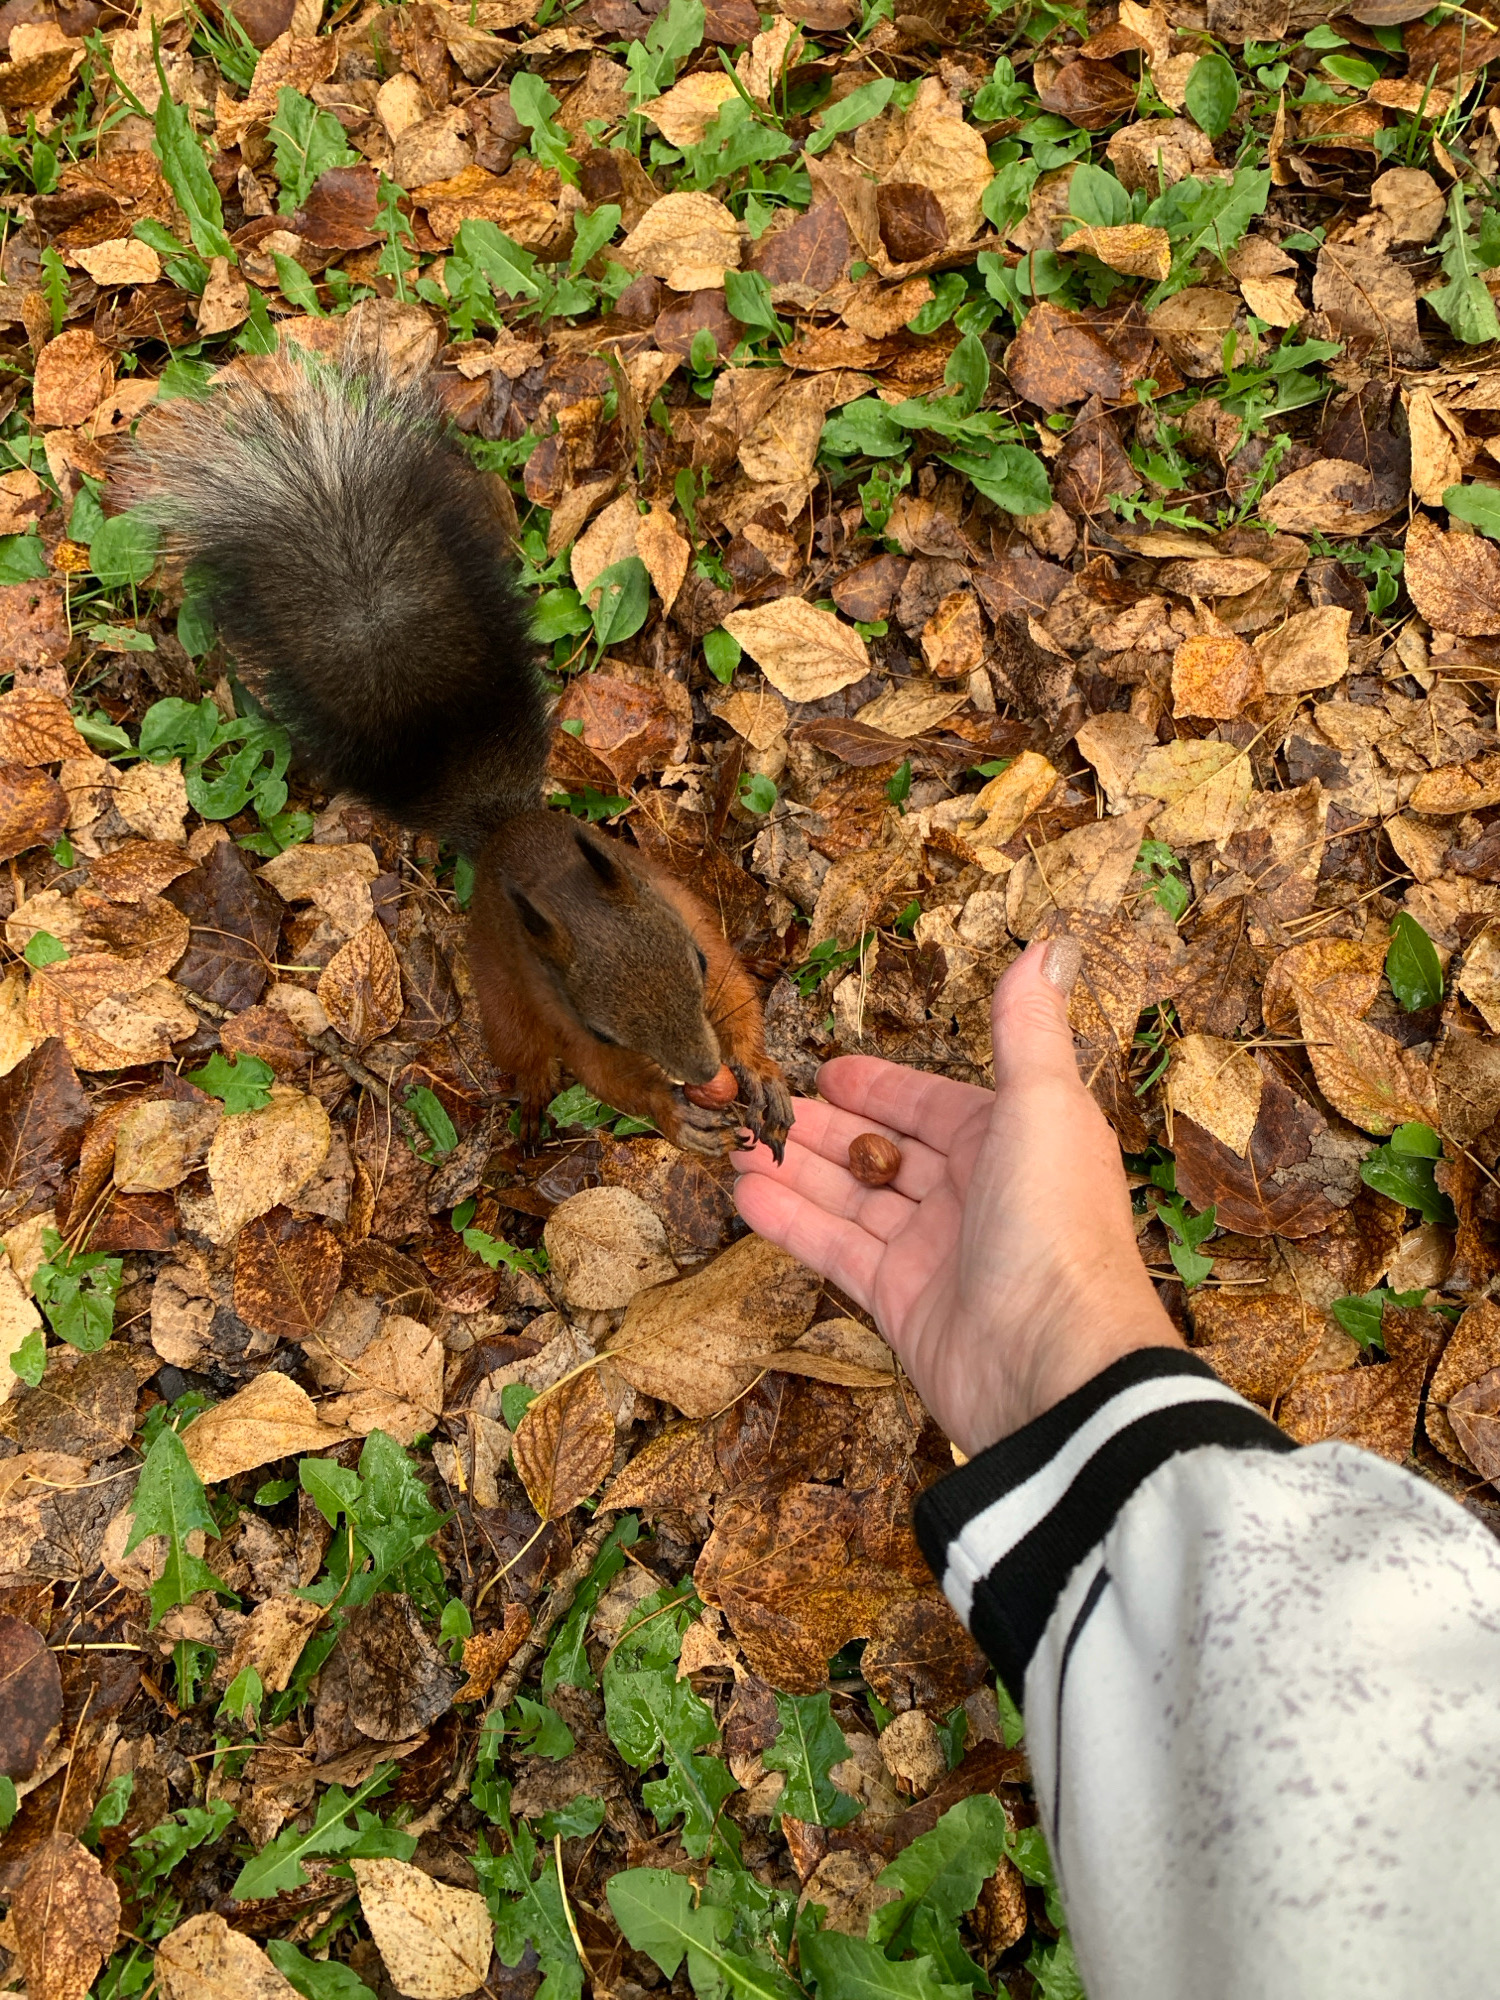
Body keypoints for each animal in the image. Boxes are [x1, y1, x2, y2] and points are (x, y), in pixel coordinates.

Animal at [122, 355, 792, 1160]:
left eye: (693, 961)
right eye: (603, 1028)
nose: (699, 1071)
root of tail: (503, 826)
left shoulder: (688, 915)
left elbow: (739, 996)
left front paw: (761, 1073)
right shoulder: (562, 1014)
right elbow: (609, 1079)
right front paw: (674, 1114)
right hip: (502, 995)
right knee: (527, 1055)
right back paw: (532, 1105)